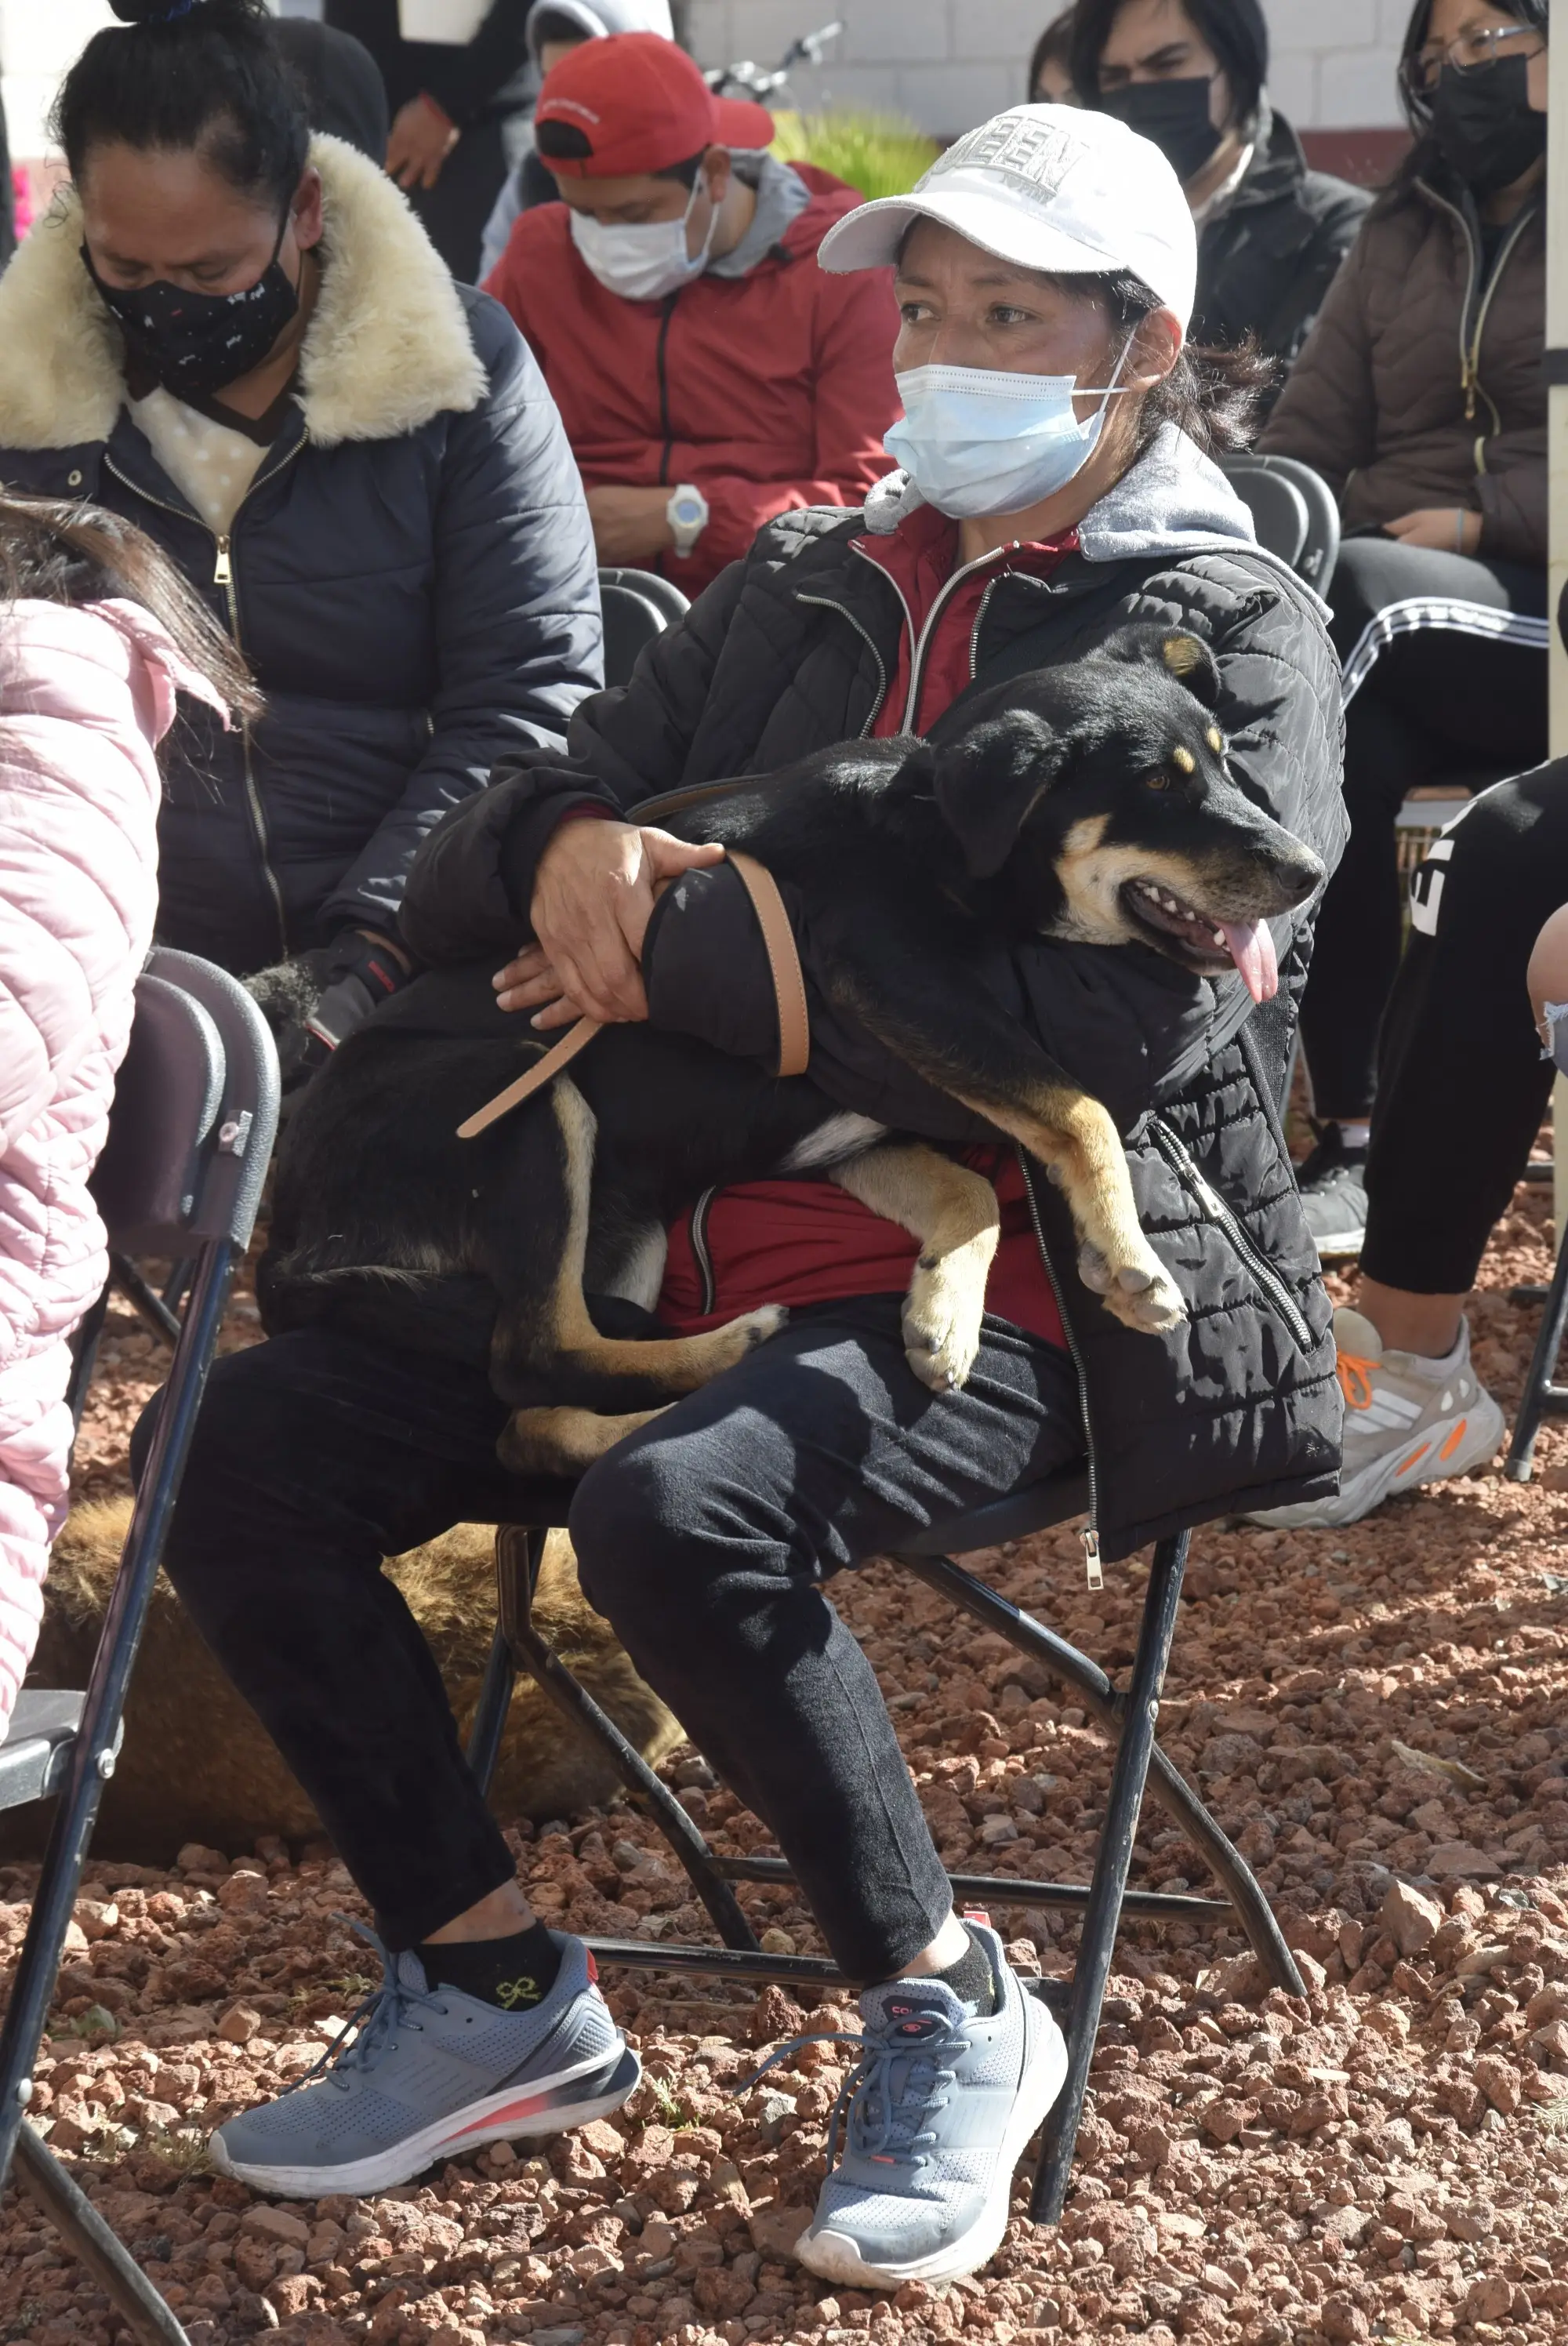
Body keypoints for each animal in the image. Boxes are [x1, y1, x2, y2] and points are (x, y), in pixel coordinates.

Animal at [261, 626, 1323, 1475]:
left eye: (1224, 764)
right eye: (1154, 785)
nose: (1309, 870)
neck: (934, 839)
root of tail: (288, 1234)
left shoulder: (863, 1118)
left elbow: (971, 1190)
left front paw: (943, 1313)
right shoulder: (894, 983)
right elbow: (1082, 1109)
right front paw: (1128, 1259)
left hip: (621, 1227)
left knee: (531, 1421)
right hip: (526, 1100)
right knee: (530, 1352)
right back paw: (730, 1347)